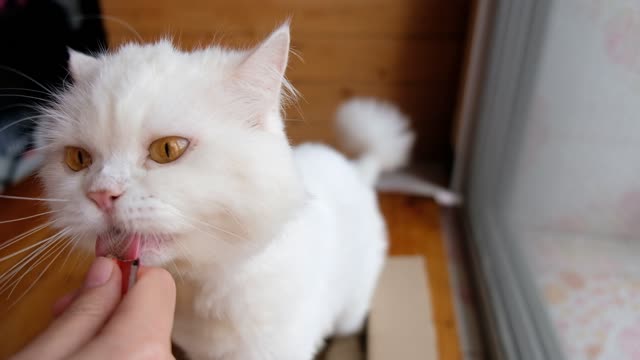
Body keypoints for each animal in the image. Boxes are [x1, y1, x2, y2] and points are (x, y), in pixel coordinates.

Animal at [35, 23, 416, 360]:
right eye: (78, 159)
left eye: (168, 150)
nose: (101, 194)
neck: (196, 287)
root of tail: (358, 167)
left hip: (351, 310)